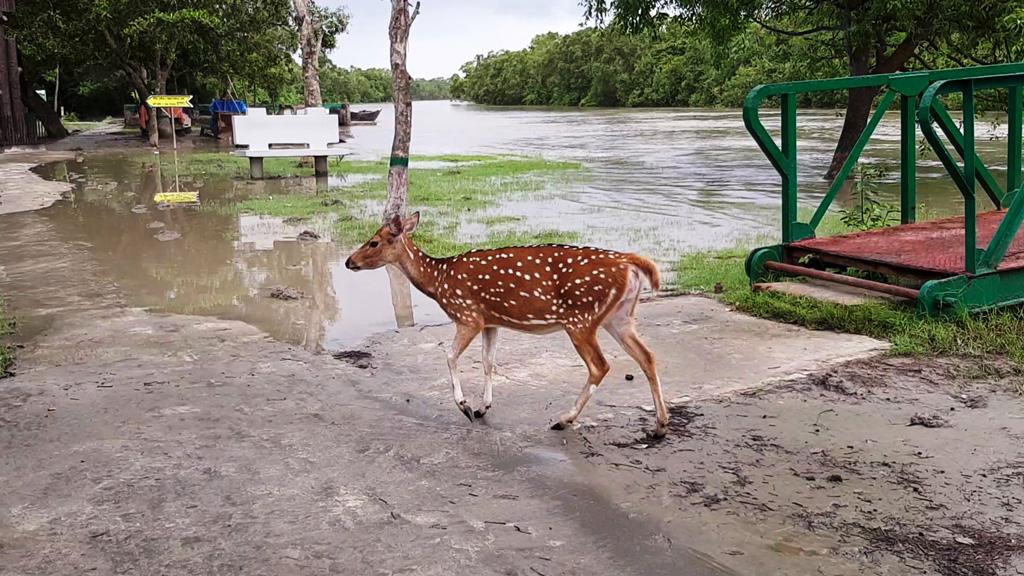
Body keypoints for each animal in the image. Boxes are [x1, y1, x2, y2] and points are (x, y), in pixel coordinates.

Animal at [346, 212, 671, 434]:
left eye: (373, 241)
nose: (349, 262)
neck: (439, 281)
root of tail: (629, 263)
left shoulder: (468, 315)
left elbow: (449, 356)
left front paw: (465, 406)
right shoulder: (491, 321)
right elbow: (488, 361)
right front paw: (483, 407)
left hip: (581, 318)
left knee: (600, 365)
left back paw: (563, 419)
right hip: (619, 316)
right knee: (647, 356)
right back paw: (660, 424)